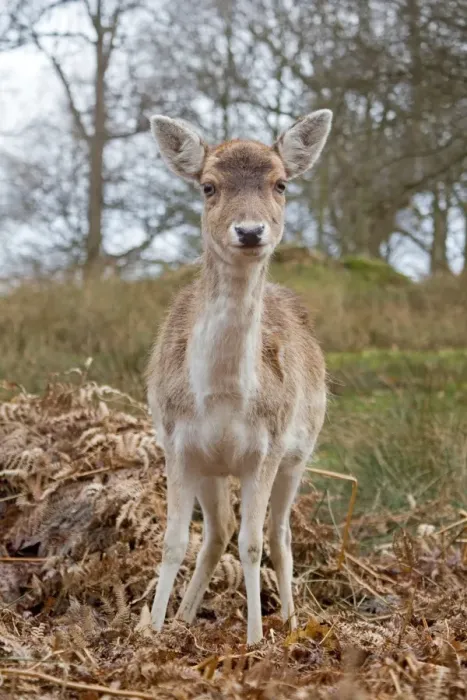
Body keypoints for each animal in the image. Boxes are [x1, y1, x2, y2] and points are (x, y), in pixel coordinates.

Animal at [146, 109, 332, 645]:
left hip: (300, 454)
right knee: (218, 531)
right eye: (208, 186)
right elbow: (173, 541)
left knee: (277, 534)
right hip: (213, 468)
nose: (250, 231)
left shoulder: (266, 448)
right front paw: (150, 633)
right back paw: (185, 617)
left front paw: (254, 639)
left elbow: (252, 544)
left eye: (281, 183)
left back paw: (289, 621)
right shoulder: (177, 443)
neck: (223, 395)